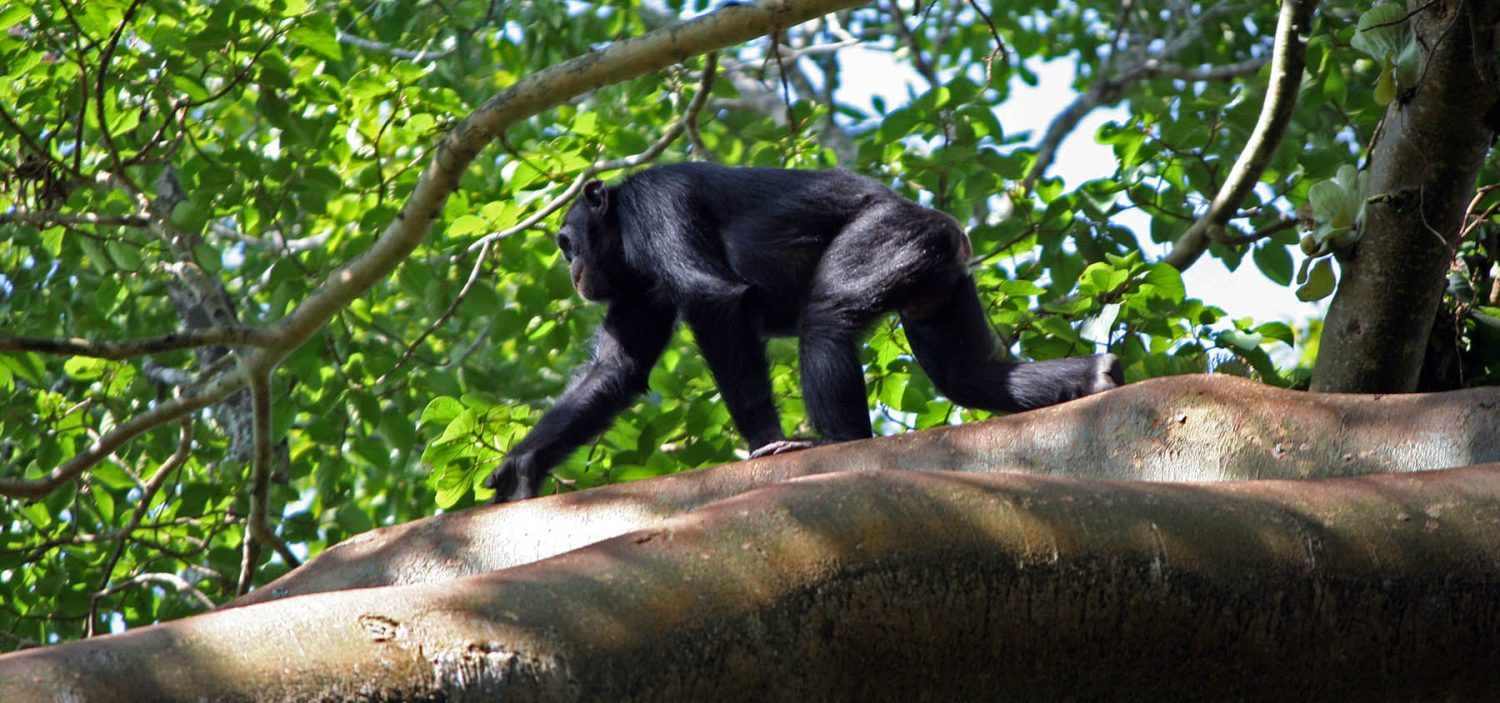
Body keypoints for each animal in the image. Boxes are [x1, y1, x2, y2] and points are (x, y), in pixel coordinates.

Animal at [486, 161, 1122, 500]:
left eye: (565, 240)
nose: (571, 267)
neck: (621, 226)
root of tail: (948, 227)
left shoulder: (657, 206)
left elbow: (713, 299)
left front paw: (764, 443)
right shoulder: (634, 289)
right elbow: (616, 369)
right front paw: (523, 466)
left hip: (889, 237)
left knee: (826, 318)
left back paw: (837, 442)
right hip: (937, 286)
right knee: (967, 372)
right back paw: (1096, 374)